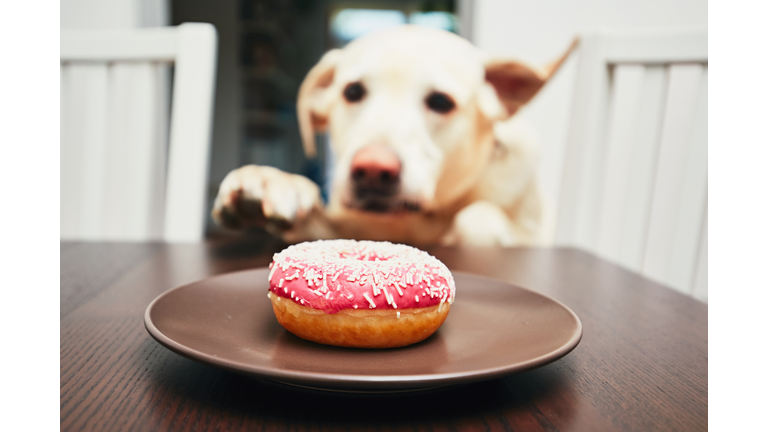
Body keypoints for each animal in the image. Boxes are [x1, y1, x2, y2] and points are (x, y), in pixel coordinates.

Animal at [213, 25, 572, 246]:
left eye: (441, 102)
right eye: (352, 92)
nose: (372, 170)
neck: (421, 218)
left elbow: (480, 218)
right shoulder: (347, 226)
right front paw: (272, 183)